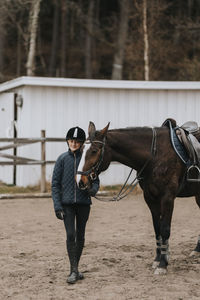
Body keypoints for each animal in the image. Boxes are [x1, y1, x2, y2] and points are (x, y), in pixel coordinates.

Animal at [76, 119, 200, 274]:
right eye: (81, 150)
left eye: (94, 151)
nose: (80, 181)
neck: (155, 155)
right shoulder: (150, 198)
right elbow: (157, 229)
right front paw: (158, 259)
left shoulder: (167, 197)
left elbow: (165, 229)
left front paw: (163, 264)